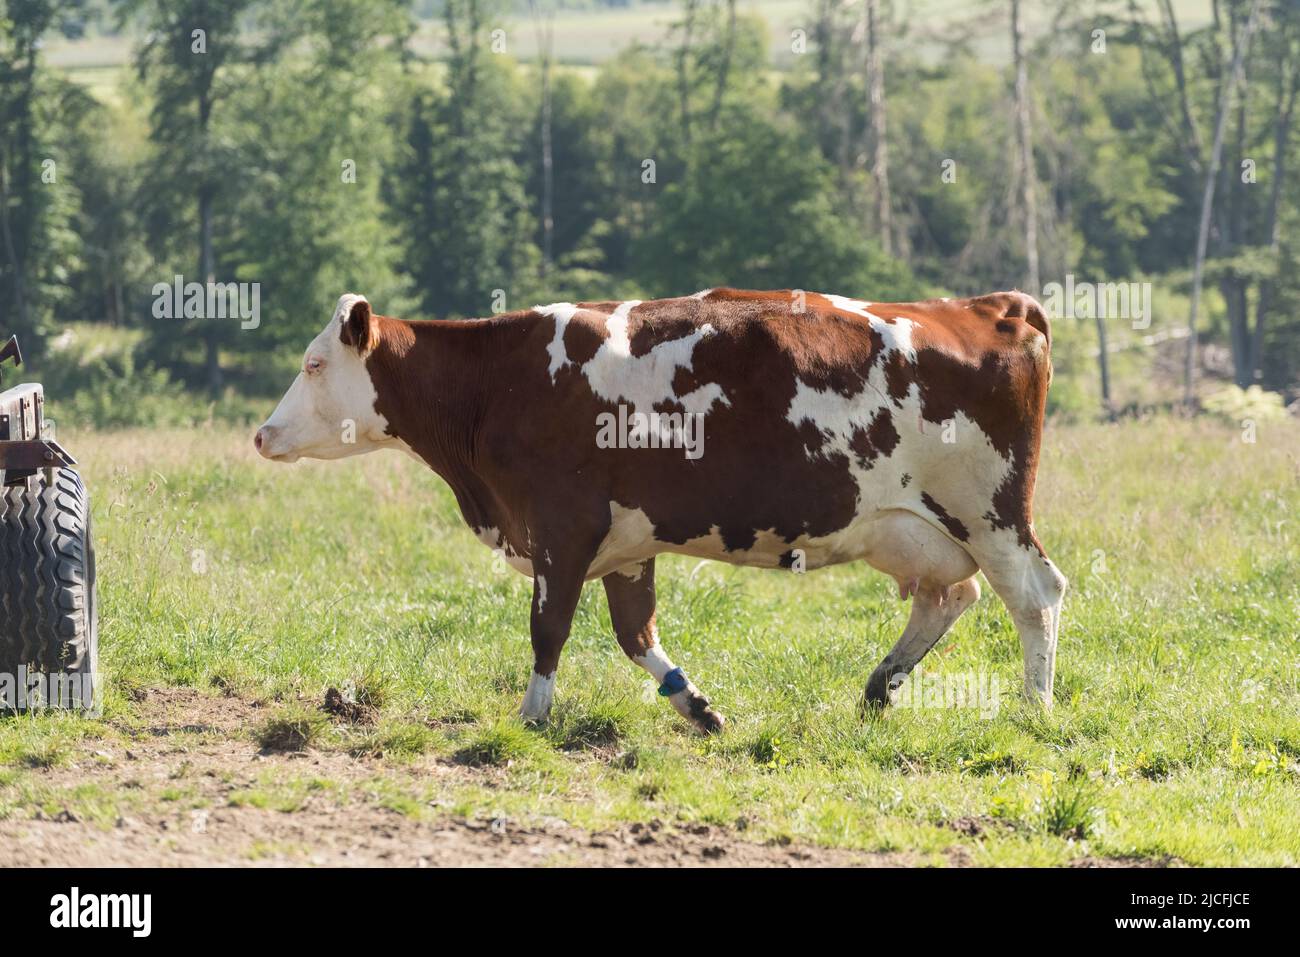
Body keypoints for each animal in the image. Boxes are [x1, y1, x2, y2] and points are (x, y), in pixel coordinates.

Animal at [256, 289, 1066, 733]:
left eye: (314, 364)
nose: (263, 433)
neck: (501, 381)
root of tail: (989, 308)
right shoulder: (625, 541)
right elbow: (634, 632)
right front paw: (697, 707)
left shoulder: (562, 526)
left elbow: (548, 628)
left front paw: (532, 715)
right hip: (917, 527)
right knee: (947, 596)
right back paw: (880, 685)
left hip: (991, 514)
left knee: (1034, 596)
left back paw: (1034, 707)